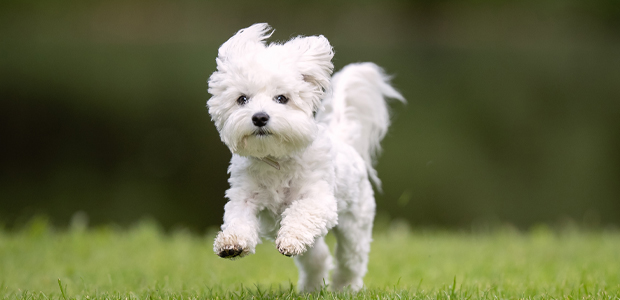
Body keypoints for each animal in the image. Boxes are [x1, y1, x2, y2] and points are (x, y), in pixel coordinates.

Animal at [206, 24, 404, 292]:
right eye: (242, 99)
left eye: (282, 98)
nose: (259, 117)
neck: (277, 159)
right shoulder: (243, 197)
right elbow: (238, 218)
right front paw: (232, 243)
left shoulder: (319, 200)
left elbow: (302, 212)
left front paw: (290, 239)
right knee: (318, 258)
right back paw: (311, 287)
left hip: (355, 224)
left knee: (351, 260)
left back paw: (345, 287)